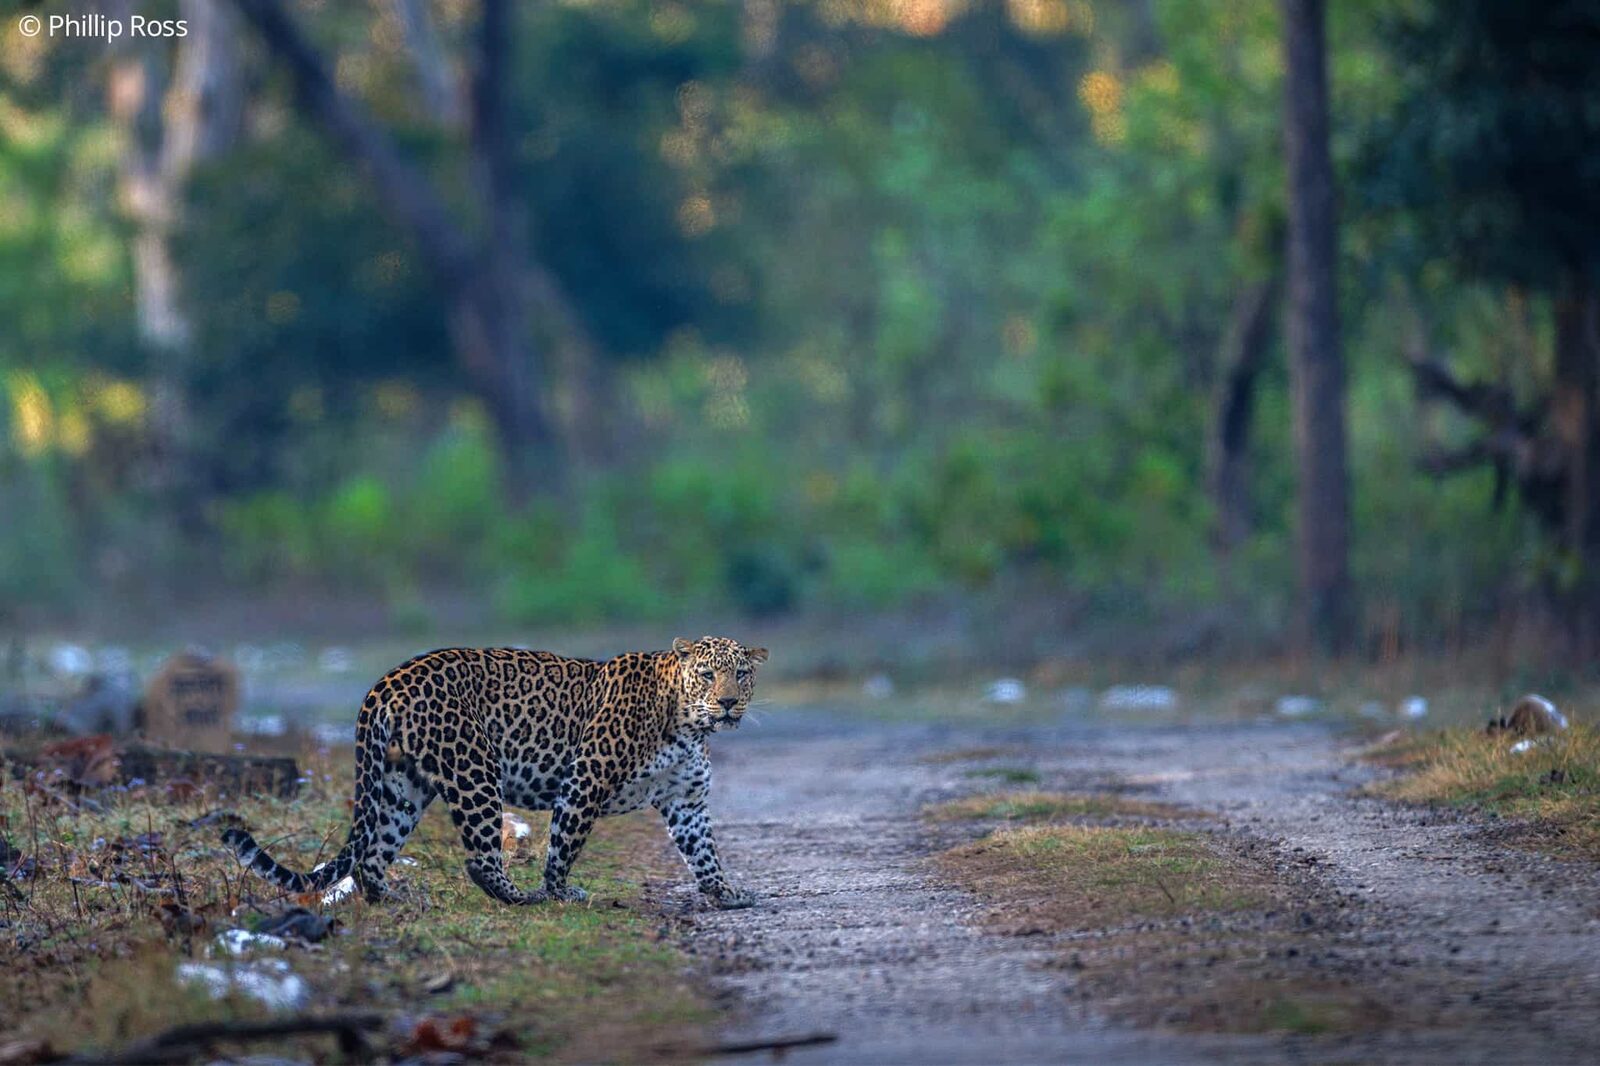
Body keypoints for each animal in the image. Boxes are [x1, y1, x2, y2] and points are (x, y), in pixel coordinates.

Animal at [223, 636, 766, 908]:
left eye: (741, 674)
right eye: (707, 674)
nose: (728, 703)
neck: (687, 724)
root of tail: (386, 681)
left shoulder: (685, 800)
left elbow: (704, 850)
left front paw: (726, 894)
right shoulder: (586, 777)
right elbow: (564, 843)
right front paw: (560, 893)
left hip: (402, 783)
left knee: (372, 854)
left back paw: (392, 900)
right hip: (474, 767)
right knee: (480, 859)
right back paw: (522, 897)